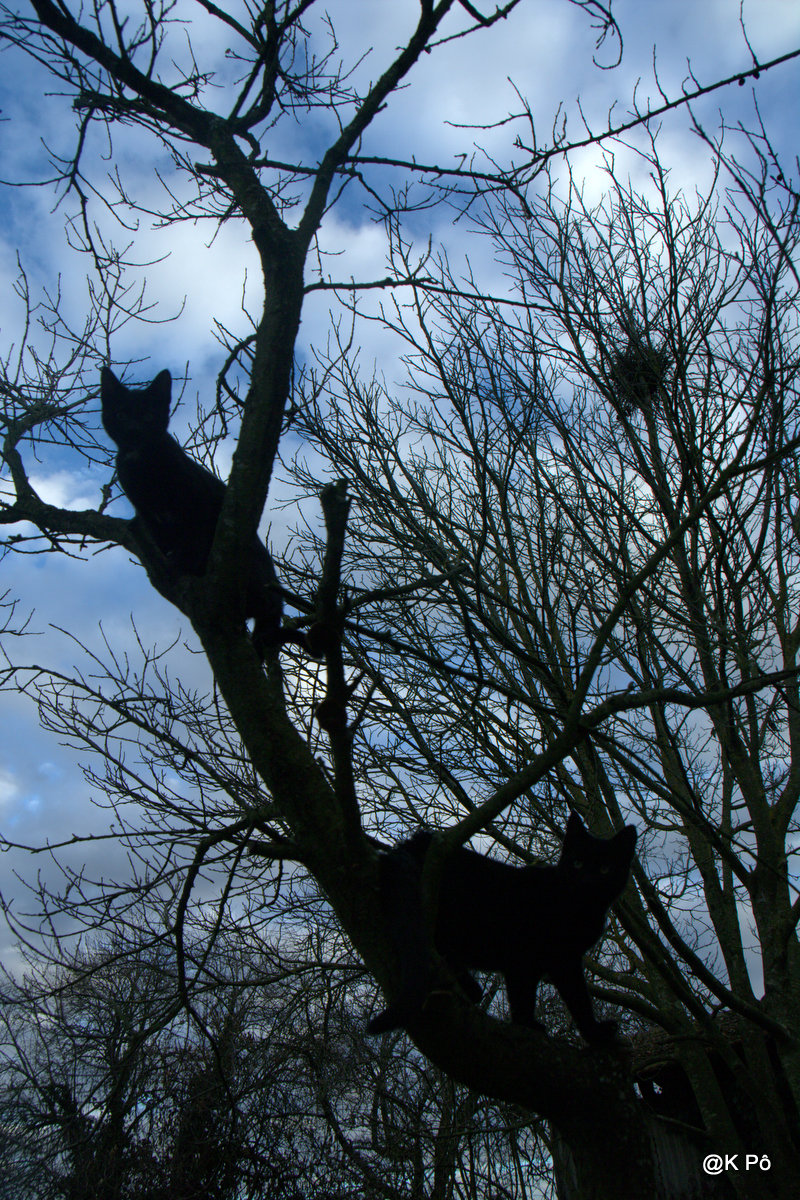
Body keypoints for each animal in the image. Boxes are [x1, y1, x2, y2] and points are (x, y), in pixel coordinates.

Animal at [101, 366, 321, 657]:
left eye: (148, 415)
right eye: (121, 415)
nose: (133, 430)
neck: (141, 464)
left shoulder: (197, 504)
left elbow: (194, 538)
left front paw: (179, 564)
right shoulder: (147, 513)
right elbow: (159, 536)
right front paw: (164, 560)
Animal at [368, 811, 637, 1044]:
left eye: (605, 869)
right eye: (578, 863)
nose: (586, 881)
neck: (578, 911)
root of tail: (414, 842)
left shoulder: (556, 962)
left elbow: (566, 999)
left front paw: (594, 1036)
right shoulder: (533, 958)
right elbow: (540, 998)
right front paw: (532, 1026)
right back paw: (470, 987)